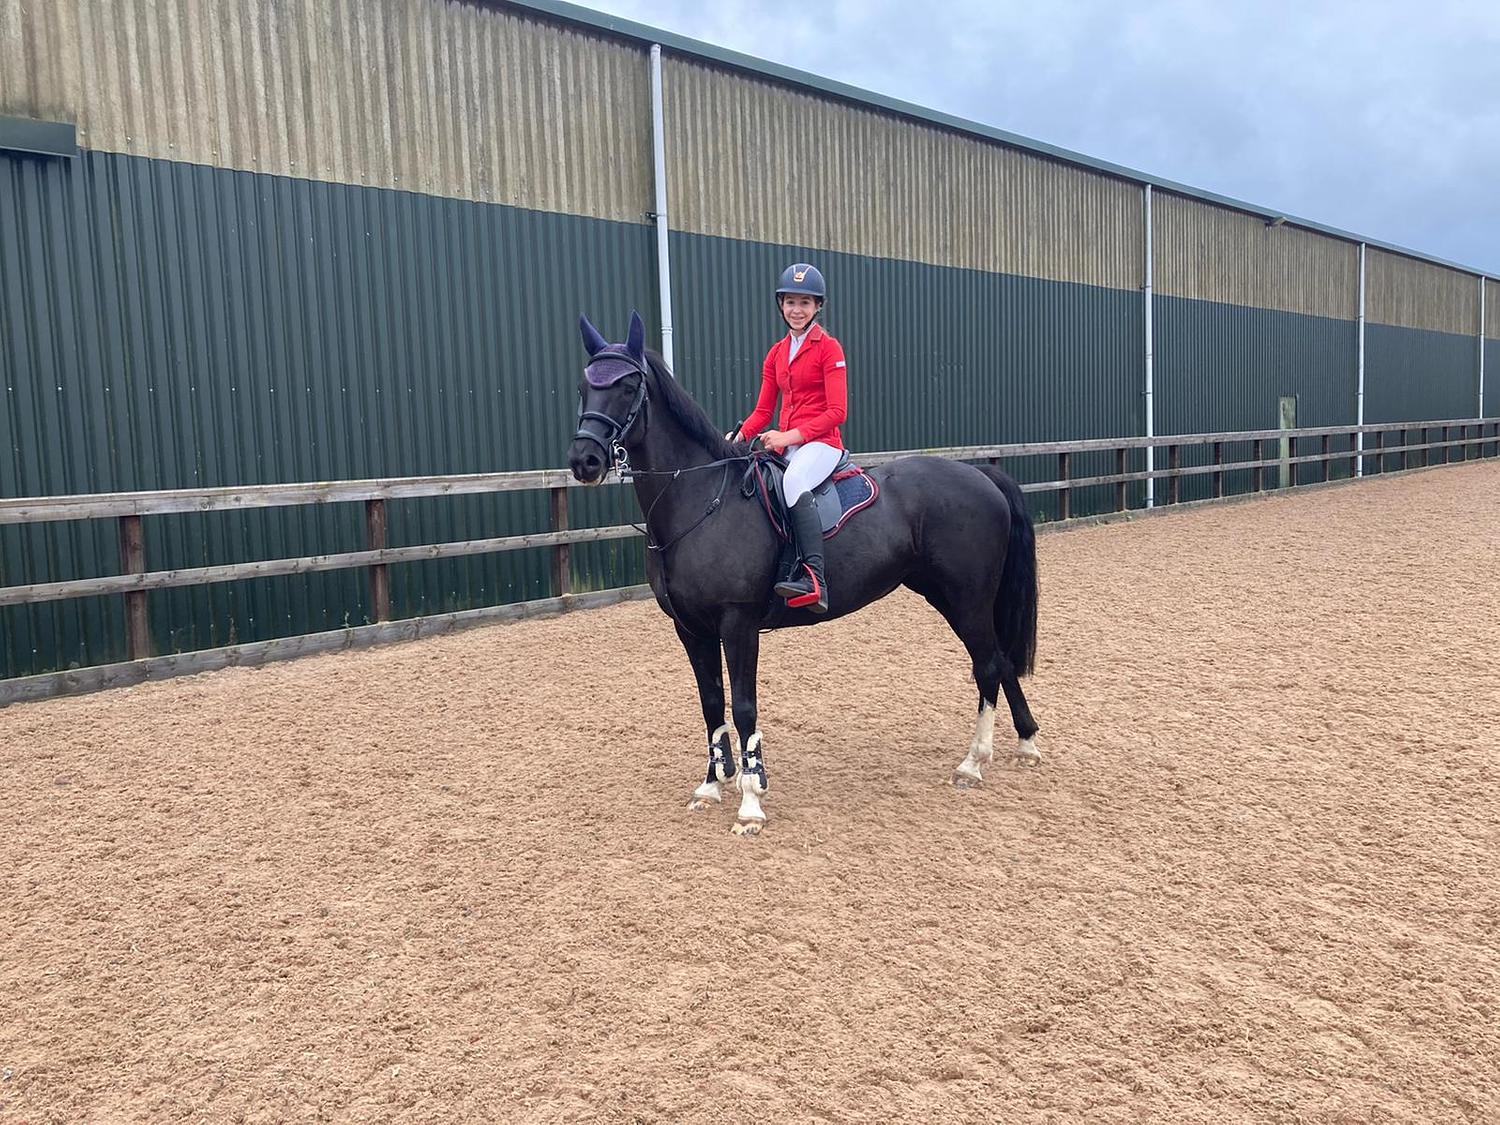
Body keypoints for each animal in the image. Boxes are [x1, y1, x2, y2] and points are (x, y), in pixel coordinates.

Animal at [567, 313, 1038, 834]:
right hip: (948, 595)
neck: (701, 498)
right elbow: (711, 703)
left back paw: (973, 763)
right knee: (1000, 659)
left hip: (966, 598)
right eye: (584, 387)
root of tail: (980, 475)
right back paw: (1025, 742)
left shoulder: (738, 623)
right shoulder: (690, 628)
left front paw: (751, 802)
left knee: (988, 664)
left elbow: (744, 706)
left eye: (629, 386)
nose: (584, 461)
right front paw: (711, 786)